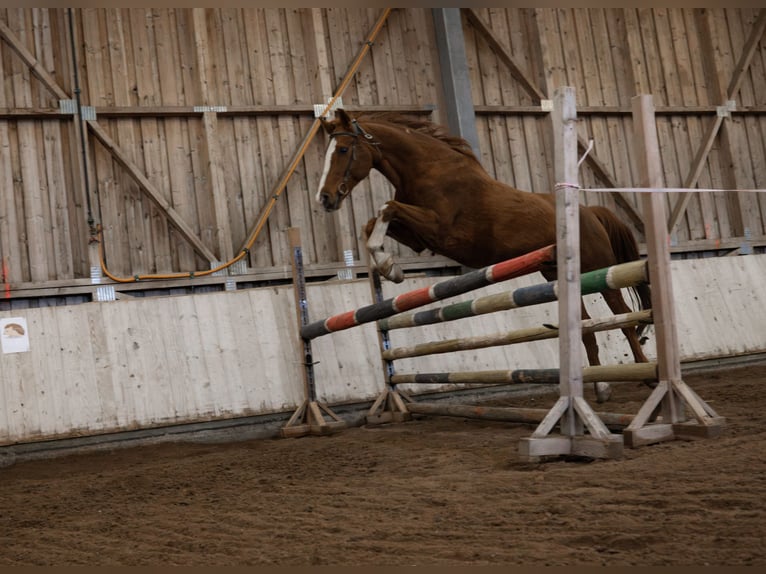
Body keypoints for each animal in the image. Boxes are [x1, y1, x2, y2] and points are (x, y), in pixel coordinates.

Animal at [316, 109, 652, 404]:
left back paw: (644, 374)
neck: (428, 170)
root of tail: (591, 212)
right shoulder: (420, 238)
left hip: (599, 272)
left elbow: (387, 207)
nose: (325, 198)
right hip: (558, 276)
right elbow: (374, 221)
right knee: (585, 326)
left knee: (623, 317)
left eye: (343, 149)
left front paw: (389, 268)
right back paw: (601, 387)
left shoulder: (439, 230)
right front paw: (389, 266)